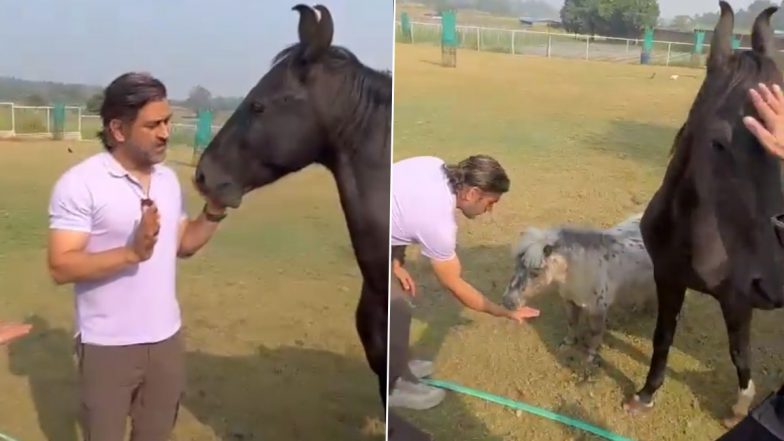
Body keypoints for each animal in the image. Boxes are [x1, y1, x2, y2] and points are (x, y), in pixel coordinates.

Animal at [624, 0, 784, 426]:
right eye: (718, 143)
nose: (774, 283)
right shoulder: (667, 276)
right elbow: (662, 336)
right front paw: (646, 394)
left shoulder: (739, 299)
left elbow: (739, 351)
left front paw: (740, 406)